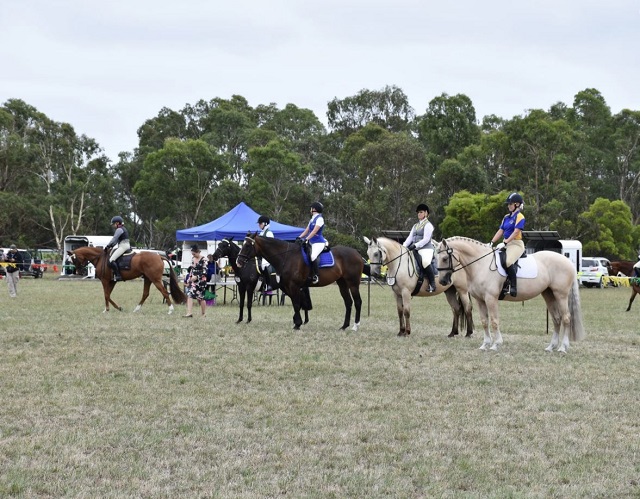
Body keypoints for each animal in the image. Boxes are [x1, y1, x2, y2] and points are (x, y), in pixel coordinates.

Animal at [236, 234, 364, 332]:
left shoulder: (294, 286)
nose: (238, 262)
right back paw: (344, 326)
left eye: (247, 246)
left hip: (353, 284)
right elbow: (296, 304)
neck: (287, 256)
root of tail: (356, 253)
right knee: (348, 302)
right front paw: (297, 322)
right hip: (342, 283)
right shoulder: (288, 287)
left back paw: (355, 326)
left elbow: (297, 304)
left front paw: (297, 324)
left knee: (357, 302)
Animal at [436, 237, 584, 352]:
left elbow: (494, 321)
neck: (481, 264)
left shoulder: (491, 298)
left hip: (561, 295)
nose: (442, 281)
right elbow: (484, 321)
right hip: (549, 294)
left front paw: (496, 344)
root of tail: (567, 261)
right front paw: (485, 345)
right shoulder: (480, 300)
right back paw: (551, 347)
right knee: (556, 319)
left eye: (445, 258)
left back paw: (563, 347)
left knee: (566, 318)